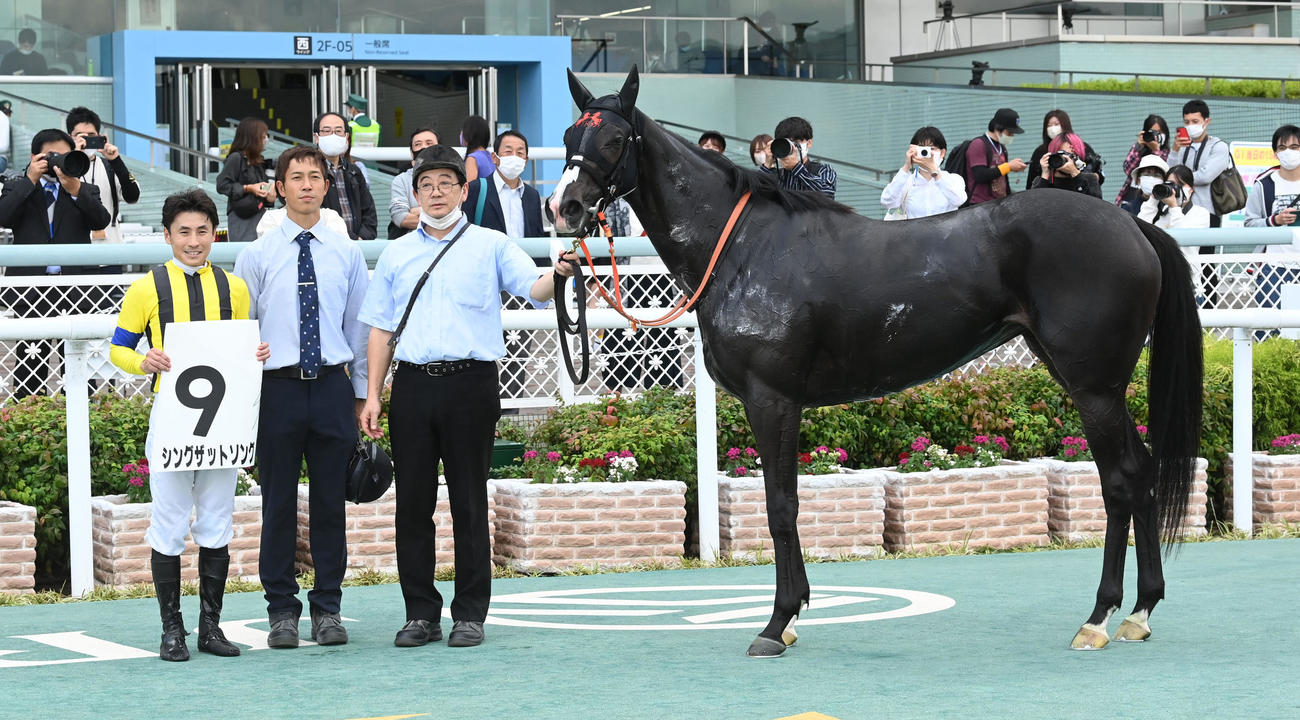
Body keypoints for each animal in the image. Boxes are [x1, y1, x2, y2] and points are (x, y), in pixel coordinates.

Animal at [550, 67, 1203, 658]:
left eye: (614, 140)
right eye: (568, 135)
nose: (566, 207)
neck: (742, 247)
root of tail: (1134, 227)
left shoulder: (772, 399)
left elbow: (781, 505)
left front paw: (776, 623)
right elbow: (787, 502)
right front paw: (792, 616)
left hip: (1094, 386)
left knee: (1120, 481)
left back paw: (1099, 617)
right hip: (1090, 382)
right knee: (1141, 473)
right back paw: (1139, 611)